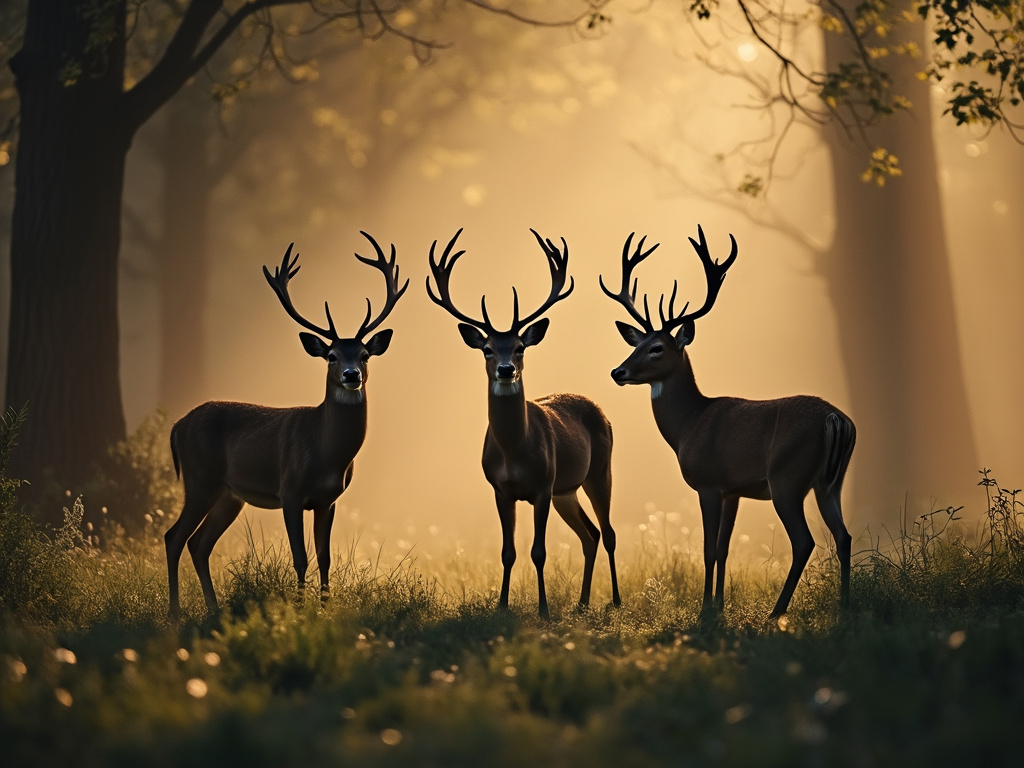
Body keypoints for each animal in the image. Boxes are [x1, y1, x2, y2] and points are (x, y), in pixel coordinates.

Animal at [164, 231, 407, 622]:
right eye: (331, 356)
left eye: (365, 355)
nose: (351, 375)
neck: (325, 452)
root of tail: (176, 425)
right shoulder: (290, 491)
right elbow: (301, 557)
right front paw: (298, 611)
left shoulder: (328, 499)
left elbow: (324, 557)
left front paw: (323, 610)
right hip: (200, 479)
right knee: (174, 537)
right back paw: (174, 612)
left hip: (229, 494)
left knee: (199, 543)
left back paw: (214, 610)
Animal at [428, 228, 618, 618]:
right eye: (487, 349)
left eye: (520, 347)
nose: (505, 369)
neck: (514, 450)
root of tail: (601, 412)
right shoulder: (501, 490)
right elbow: (508, 552)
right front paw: (502, 606)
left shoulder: (542, 487)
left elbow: (538, 552)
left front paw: (543, 610)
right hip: (567, 490)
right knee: (590, 534)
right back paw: (581, 603)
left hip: (598, 471)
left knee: (608, 533)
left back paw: (616, 601)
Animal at [598, 227, 856, 618]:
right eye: (636, 343)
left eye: (657, 348)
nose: (618, 371)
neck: (689, 424)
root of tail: (834, 418)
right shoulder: (734, 489)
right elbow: (724, 549)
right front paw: (719, 606)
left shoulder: (708, 483)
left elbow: (708, 548)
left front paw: (705, 610)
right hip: (830, 483)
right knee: (843, 536)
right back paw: (844, 607)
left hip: (787, 478)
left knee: (804, 541)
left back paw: (776, 612)